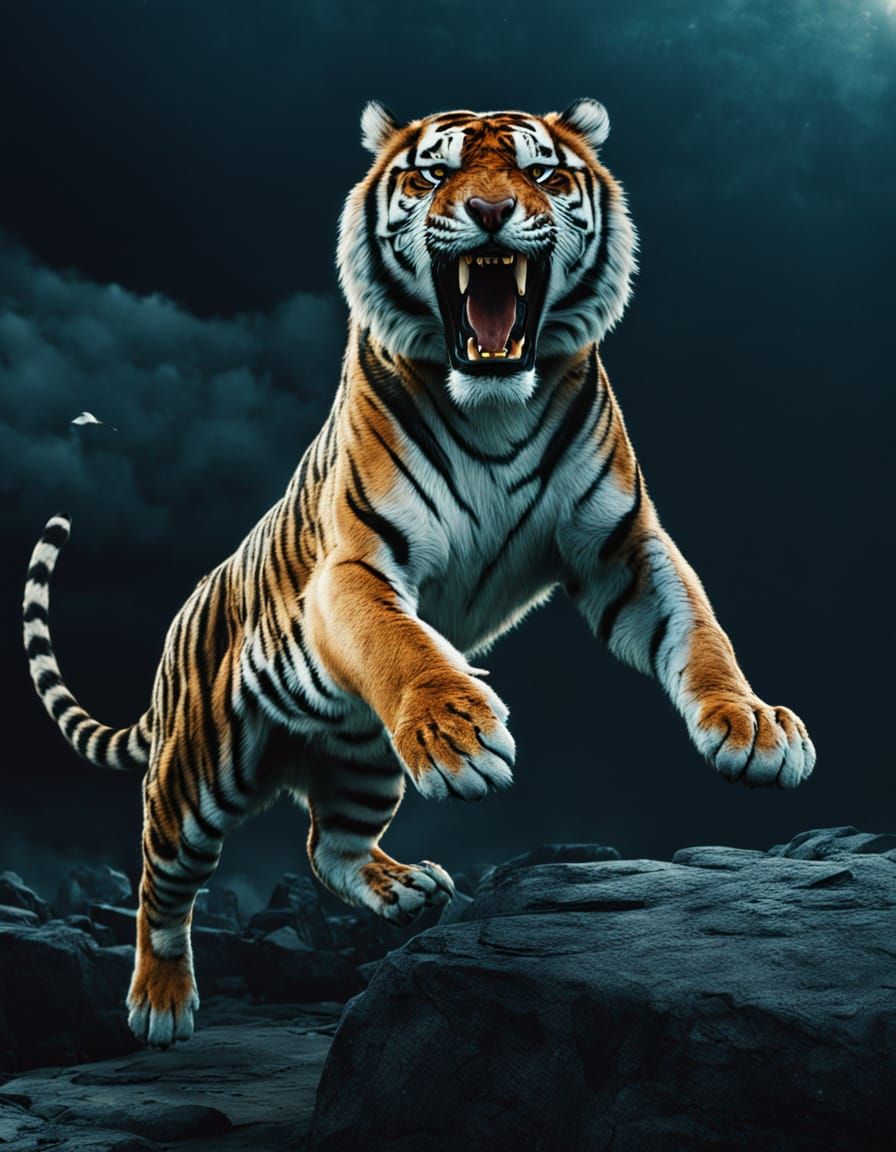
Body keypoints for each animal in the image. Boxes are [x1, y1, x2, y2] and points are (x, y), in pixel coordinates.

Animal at [23, 99, 815, 1048]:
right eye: (436, 174)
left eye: (541, 172)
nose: (489, 214)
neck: (496, 404)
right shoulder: (355, 563)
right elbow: (400, 642)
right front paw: (459, 732)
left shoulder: (622, 544)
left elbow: (699, 630)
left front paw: (752, 725)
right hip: (196, 779)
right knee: (160, 880)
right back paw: (159, 1003)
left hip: (364, 761)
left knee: (327, 848)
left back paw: (405, 887)